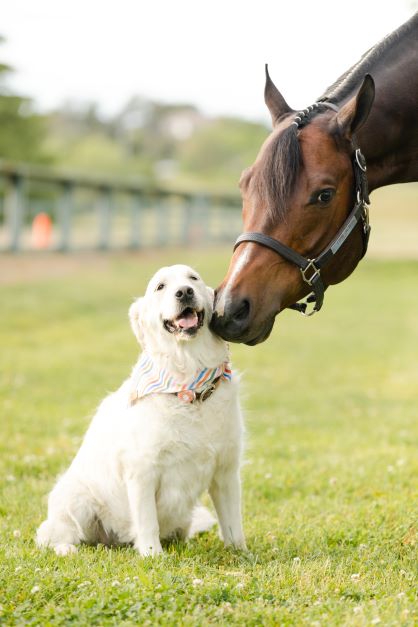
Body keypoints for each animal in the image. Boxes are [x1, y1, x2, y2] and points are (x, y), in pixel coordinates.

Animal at [36, 264, 245, 556]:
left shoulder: (226, 470)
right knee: (50, 534)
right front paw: (152, 554)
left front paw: (241, 553)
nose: (184, 292)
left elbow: (233, 522)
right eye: (160, 287)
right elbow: (147, 520)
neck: (189, 385)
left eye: (193, 278)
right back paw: (66, 548)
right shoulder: (142, 469)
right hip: (74, 497)